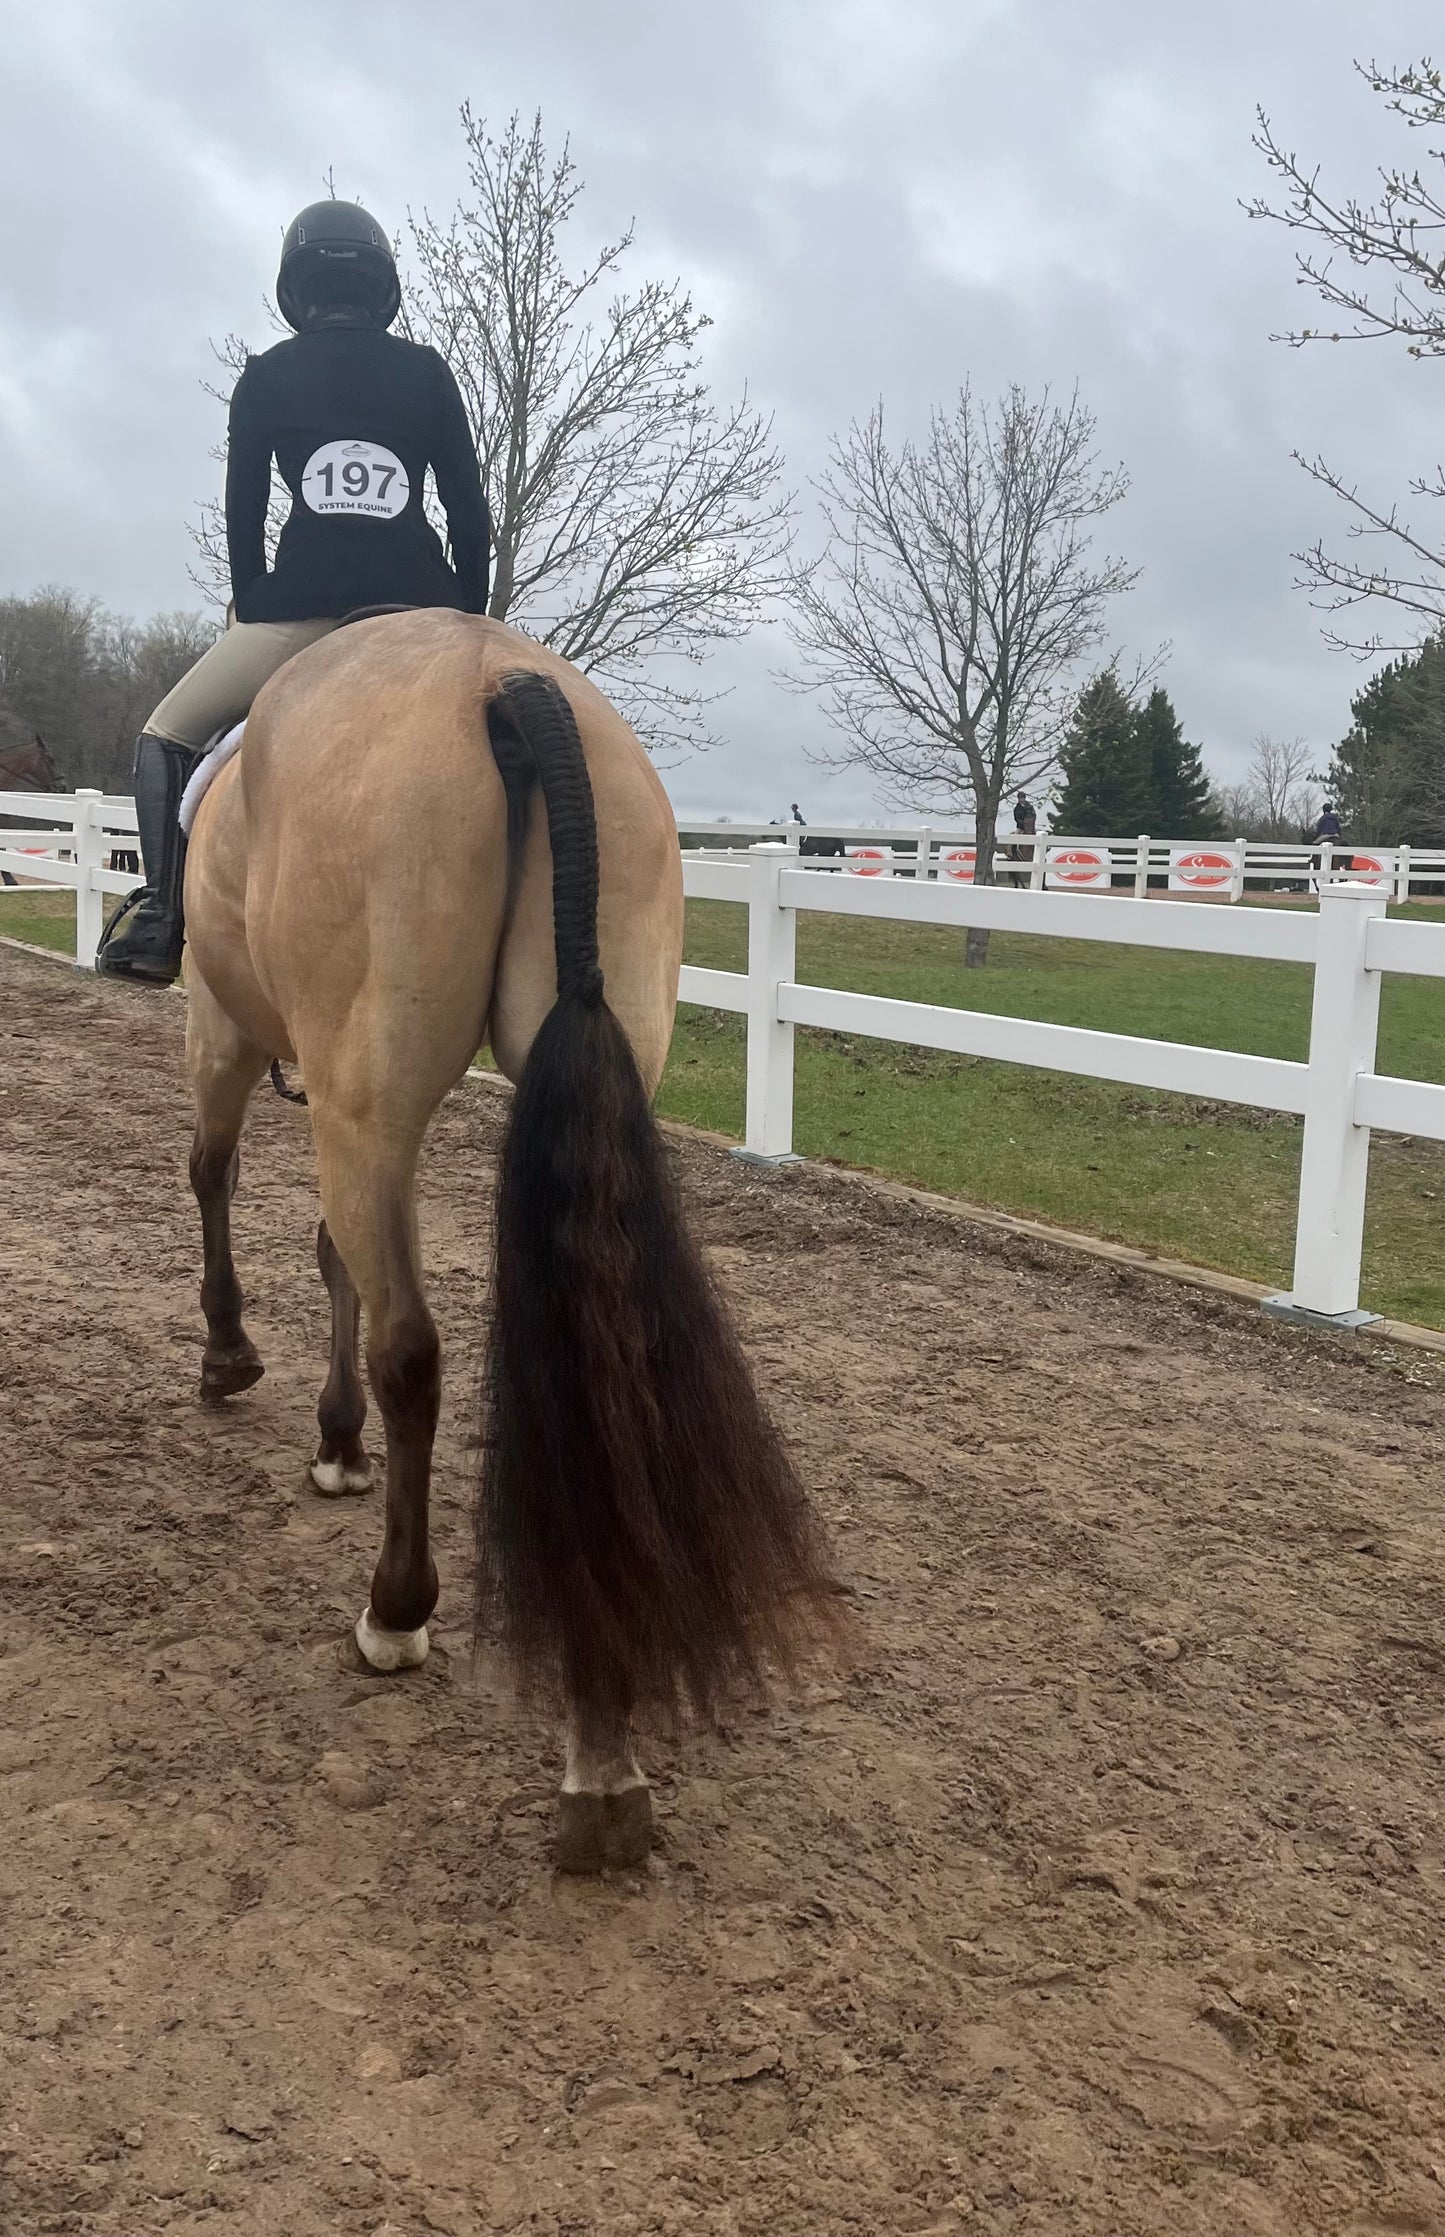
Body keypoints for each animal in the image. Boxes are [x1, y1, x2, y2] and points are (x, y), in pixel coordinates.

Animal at [182, 609, 841, 1872]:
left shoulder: (225, 1027)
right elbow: (330, 1253)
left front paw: (232, 1359)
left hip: (358, 1096)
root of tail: (503, 676)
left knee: (411, 1350)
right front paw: (333, 1440)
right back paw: (601, 1757)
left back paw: (395, 1612)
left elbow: (216, 1178)